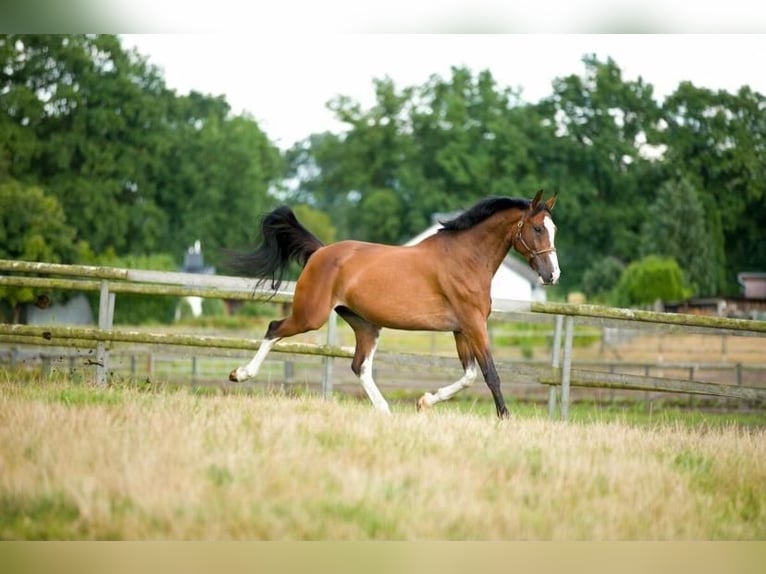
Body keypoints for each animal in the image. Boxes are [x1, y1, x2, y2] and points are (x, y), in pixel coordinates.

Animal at [227, 189, 559, 419]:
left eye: (553, 229)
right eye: (538, 229)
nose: (552, 275)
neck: (466, 258)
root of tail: (320, 252)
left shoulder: (461, 329)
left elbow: (469, 375)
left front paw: (424, 402)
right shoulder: (474, 324)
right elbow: (490, 373)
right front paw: (505, 417)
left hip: (366, 324)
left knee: (359, 365)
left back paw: (385, 411)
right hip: (311, 315)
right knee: (274, 328)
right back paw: (240, 374)